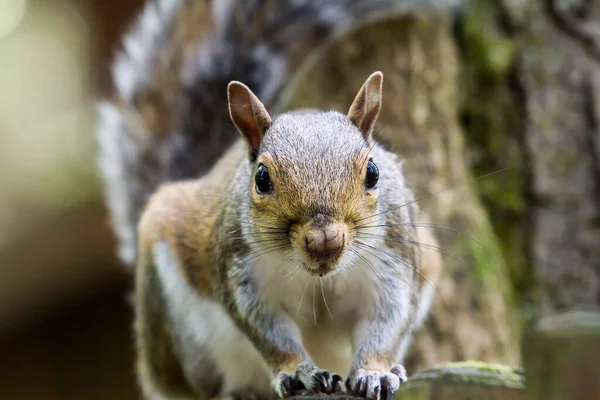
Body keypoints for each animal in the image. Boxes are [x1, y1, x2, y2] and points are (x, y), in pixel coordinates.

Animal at [97, 0, 446, 400]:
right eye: (262, 178)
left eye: (373, 172)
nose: (324, 243)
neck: (318, 279)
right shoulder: (242, 275)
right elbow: (270, 333)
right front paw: (300, 373)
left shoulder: (394, 262)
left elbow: (385, 324)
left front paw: (376, 373)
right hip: (179, 331)